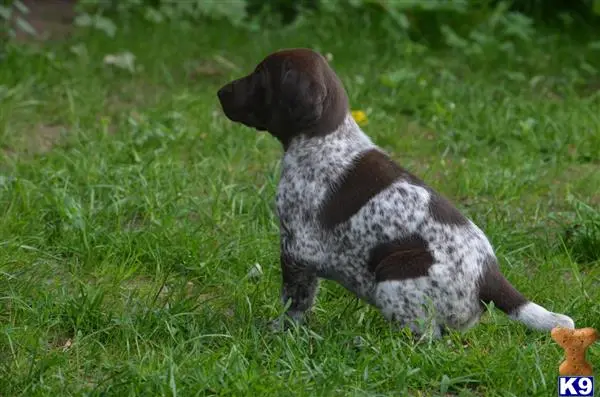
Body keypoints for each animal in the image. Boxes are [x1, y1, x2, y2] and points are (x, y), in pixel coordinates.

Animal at [218, 48, 576, 336]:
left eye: (260, 75)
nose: (220, 91)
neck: (325, 139)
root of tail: (489, 276)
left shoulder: (297, 249)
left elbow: (294, 301)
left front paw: (278, 330)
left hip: (393, 279)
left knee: (426, 338)